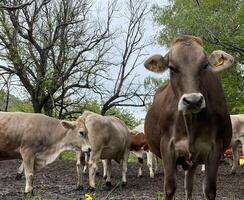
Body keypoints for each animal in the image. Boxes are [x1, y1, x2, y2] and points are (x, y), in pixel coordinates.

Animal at [144, 35, 234, 199]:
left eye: (205, 65)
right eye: (172, 67)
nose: (193, 100)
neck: (190, 123)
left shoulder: (215, 149)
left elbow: (209, 190)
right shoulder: (167, 146)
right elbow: (170, 188)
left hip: (193, 161)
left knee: (189, 186)